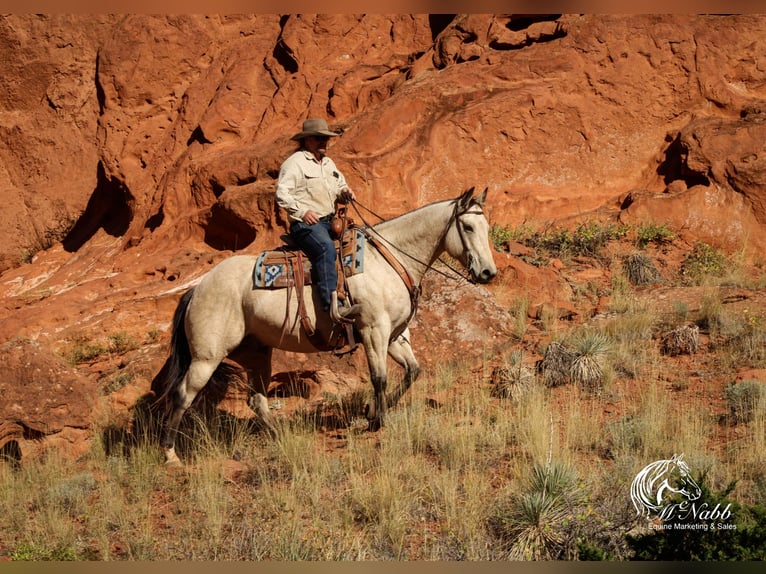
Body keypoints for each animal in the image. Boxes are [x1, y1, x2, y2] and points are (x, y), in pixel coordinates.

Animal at [154, 189, 498, 468]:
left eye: (486, 227)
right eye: (468, 227)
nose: (488, 273)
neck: (390, 260)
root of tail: (197, 288)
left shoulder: (394, 335)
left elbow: (412, 371)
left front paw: (372, 411)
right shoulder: (373, 329)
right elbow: (379, 377)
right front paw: (376, 421)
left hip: (257, 353)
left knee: (256, 400)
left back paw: (280, 433)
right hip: (206, 357)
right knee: (183, 395)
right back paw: (171, 455)